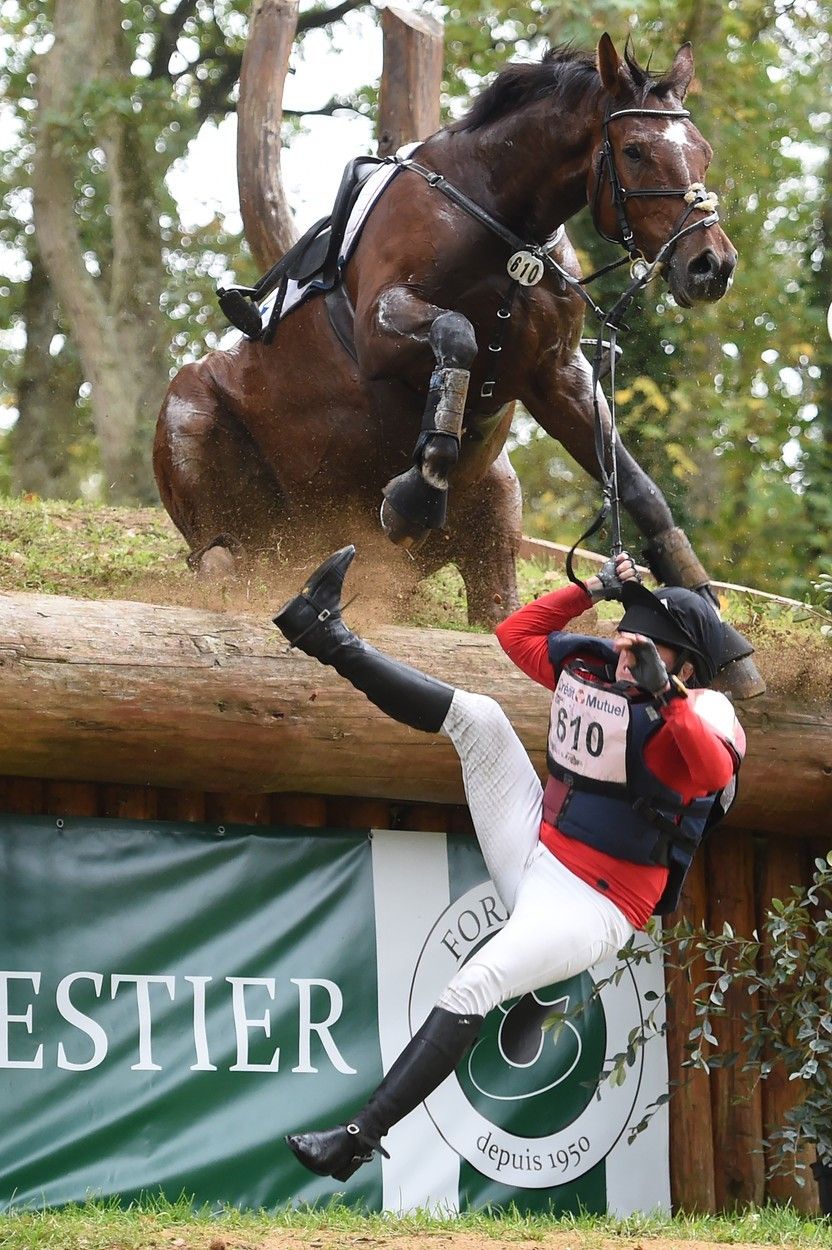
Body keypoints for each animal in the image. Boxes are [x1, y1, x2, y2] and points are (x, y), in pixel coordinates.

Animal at [153, 36, 744, 665]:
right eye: (633, 151)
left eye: (703, 153)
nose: (711, 265)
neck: (506, 221)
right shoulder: (379, 327)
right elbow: (457, 335)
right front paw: (418, 491)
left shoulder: (557, 374)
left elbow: (634, 482)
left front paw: (700, 602)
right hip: (195, 422)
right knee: (221, 557)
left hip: (494, 514)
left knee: (497, 604)